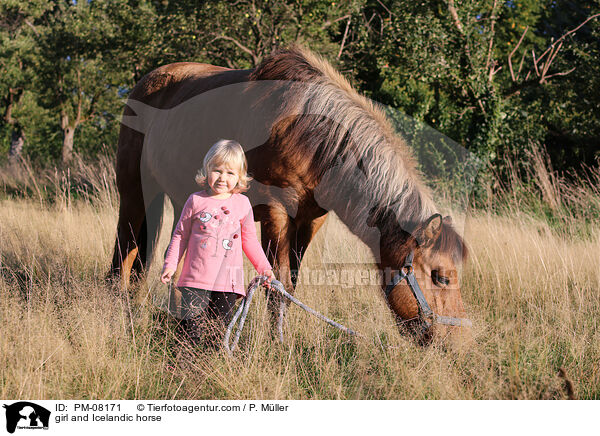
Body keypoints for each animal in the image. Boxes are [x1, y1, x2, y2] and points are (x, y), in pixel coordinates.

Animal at [110, 46, 472, 342]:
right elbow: (278, 286)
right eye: (441, 277)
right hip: (135, 194)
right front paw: (278, 345)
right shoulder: (276, 213)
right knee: (125, 252)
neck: (310, 133)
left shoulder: (310, 222)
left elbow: (292, 284)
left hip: (183, 201)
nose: (457, 343)